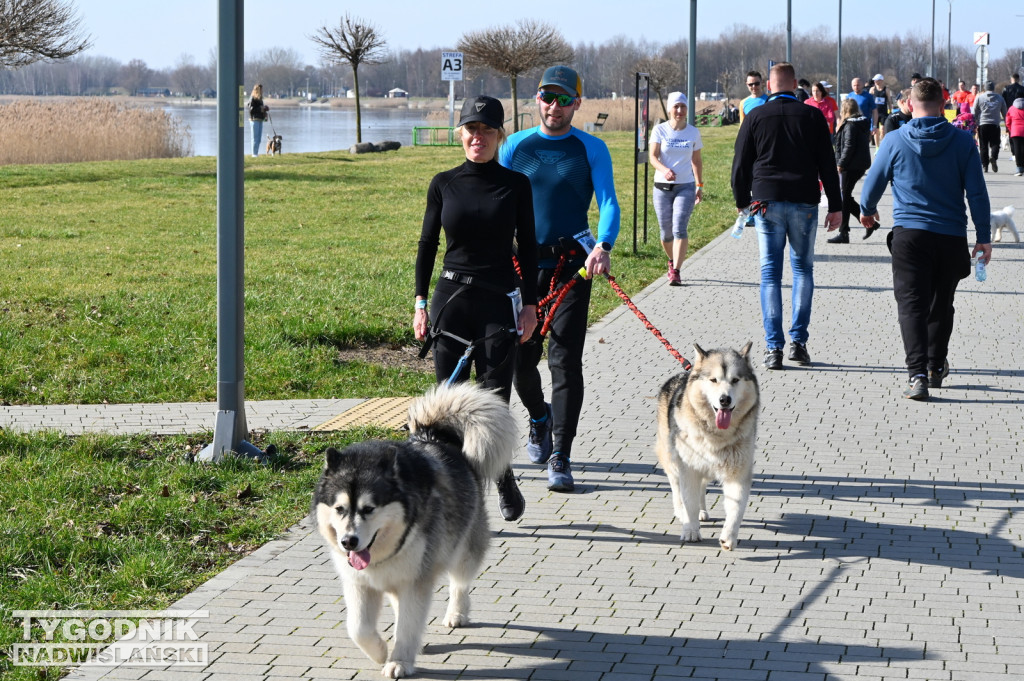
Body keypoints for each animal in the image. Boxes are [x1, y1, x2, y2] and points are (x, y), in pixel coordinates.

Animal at [311, 378, 516, 675]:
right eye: (339, 509)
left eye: (369, 509)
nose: (348, 541)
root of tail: (433, 436)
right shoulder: (359, 583)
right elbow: (358, 628)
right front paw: (381, 651)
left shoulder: (415, 581)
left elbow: (408, 625)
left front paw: (399, 660)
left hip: (463, 548)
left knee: (460, 582)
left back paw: (456, 613)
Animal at [655, 342, 761, 548]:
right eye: (713, 380)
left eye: (735, 380)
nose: (724, 400)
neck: (717, 434)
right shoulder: (688, 468)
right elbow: (689, 500)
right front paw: (690, 530)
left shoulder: (738, 471)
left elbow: (736, 507)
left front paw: (729, 537)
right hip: (672, 456)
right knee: (676, 485)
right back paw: (681, 511)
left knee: (702, 488)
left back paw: (702, 511)